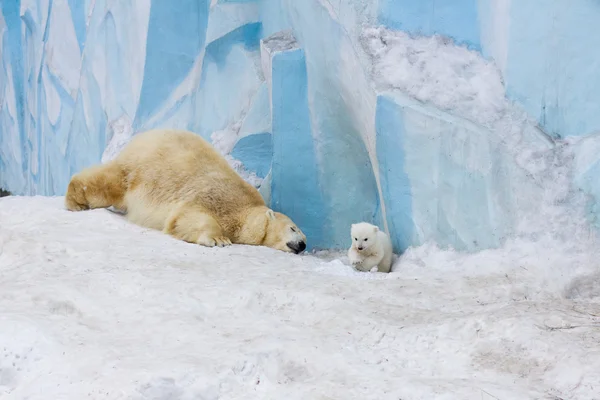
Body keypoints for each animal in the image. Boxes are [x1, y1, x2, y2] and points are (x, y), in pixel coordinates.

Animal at [65, 129, 308, 253]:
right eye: (293, 228)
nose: (303, 244)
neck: (245, 208)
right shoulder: (216, 196)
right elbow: (188, 215)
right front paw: (218, 239)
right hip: (138, 169)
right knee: (108, 183)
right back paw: (75, 200)